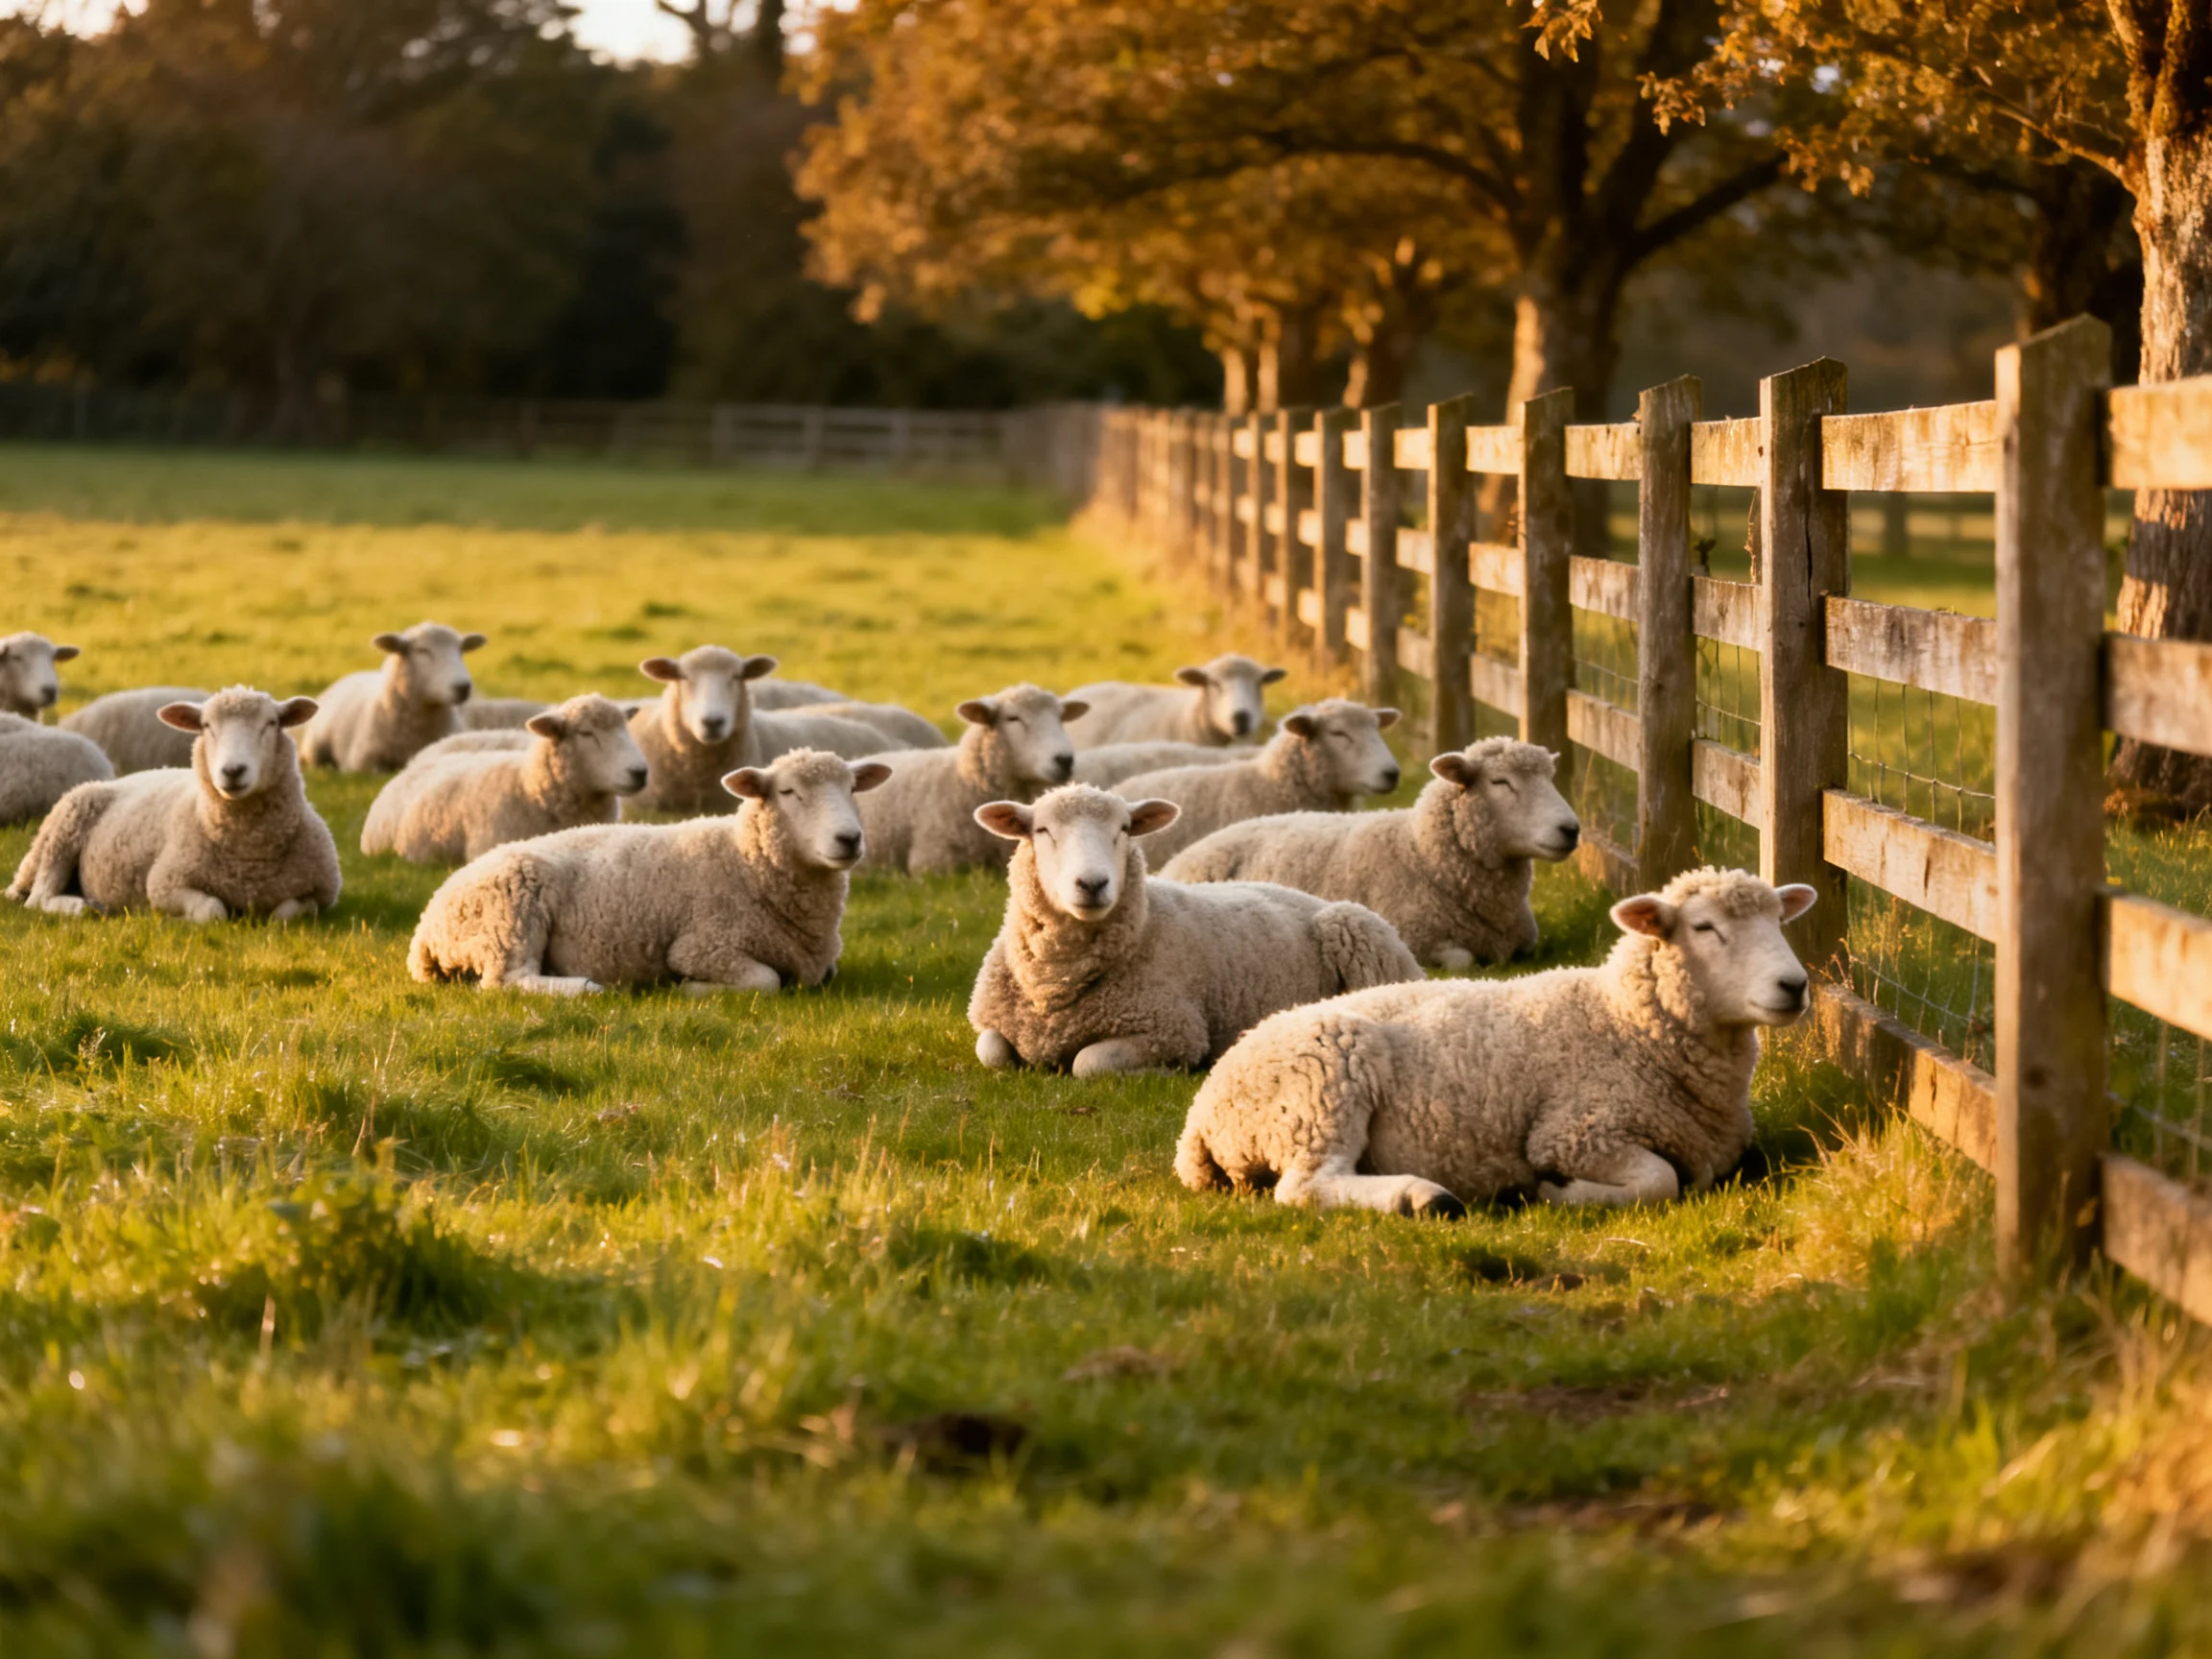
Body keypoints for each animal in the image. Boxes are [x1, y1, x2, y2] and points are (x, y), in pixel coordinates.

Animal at [407, 748, 891, 995]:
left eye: (852, 788)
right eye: (789, 792)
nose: (849, 839)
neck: (744, 861)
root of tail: (427, 924)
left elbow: (822, 974)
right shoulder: (702, 945)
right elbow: (766, 981)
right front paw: (689, 990)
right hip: (509, 918)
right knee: (505, 982)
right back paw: (586, 987)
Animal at [966, 786, 1422, 1077]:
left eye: (1124, 829)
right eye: (1042, 830)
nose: (1093, 884)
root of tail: (1308, 896)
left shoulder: (1174, 1031)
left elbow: (1088, 1065)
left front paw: (1160, 1074)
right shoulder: (992, 1025)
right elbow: (991, 1051)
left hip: (1361, 934)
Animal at [1162, 738, 1582, 969]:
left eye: (1550, 779)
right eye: (1500, 782)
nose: (1571, 829)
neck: (1422, 854)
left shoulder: (1525, 943)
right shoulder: (1414, 935)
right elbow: (1463, 960)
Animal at [1175, 868, 1819, 1217]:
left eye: (1779, 923)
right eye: (1705, 927)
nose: (1795, 985)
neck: (1623, 1023)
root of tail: (1200, 1119)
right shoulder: (1575, 1131)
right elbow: (1659, 1182)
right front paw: (1554, 1194)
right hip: (1322, 1085)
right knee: (1308, 1188)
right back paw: (1423, 1199)